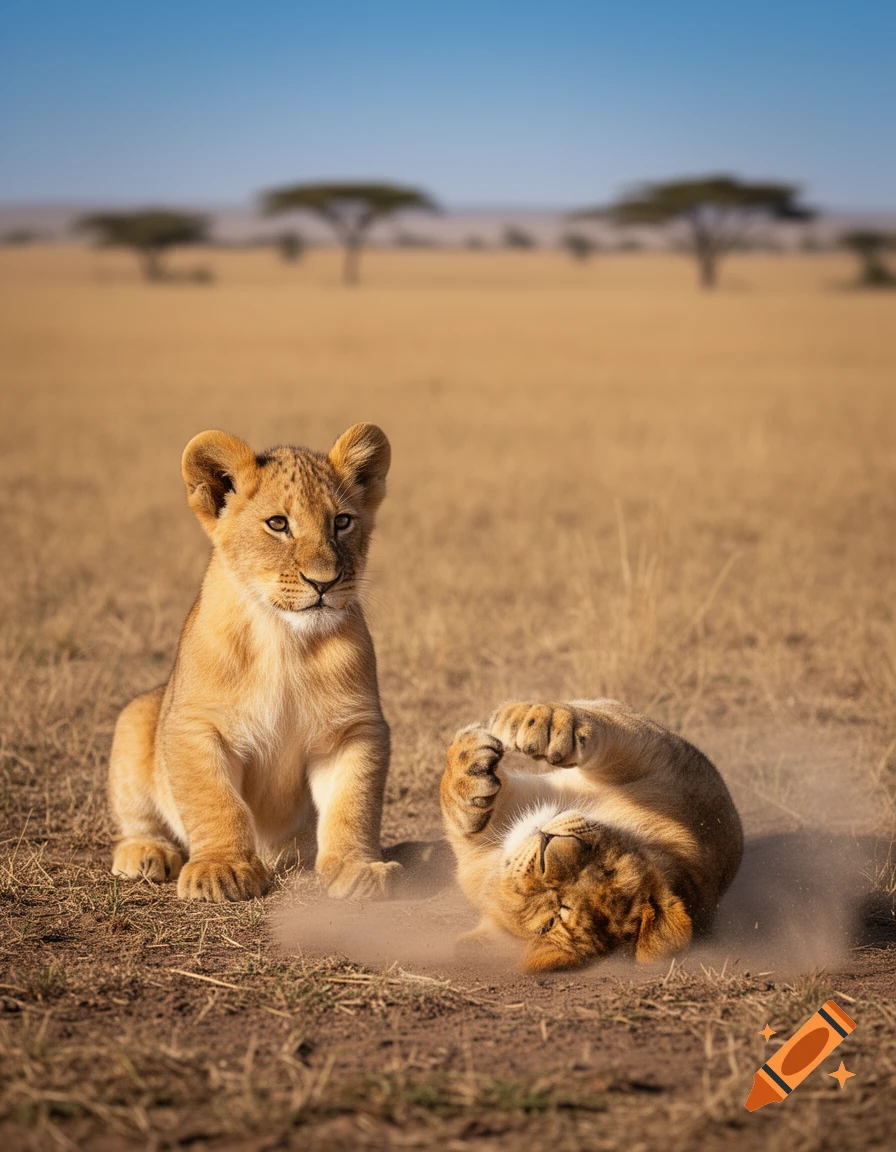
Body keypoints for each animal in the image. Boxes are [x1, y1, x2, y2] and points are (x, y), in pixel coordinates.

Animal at [108, 423, 401, 902]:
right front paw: (221, 870)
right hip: (137, 716)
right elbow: (215, 802)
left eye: (341, 522)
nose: (324, 582)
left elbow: (352, 804)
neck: (283, 641)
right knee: (140, 820)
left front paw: (357, 869)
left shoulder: (354, 729)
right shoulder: (194, 724)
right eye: (278, 524)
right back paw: (146, 854)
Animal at [440, 699, 742, 971]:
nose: (549, 843)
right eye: (608, 868)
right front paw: (535, 724)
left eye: (553, 917)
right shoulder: (670, 766)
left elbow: (609, 720)